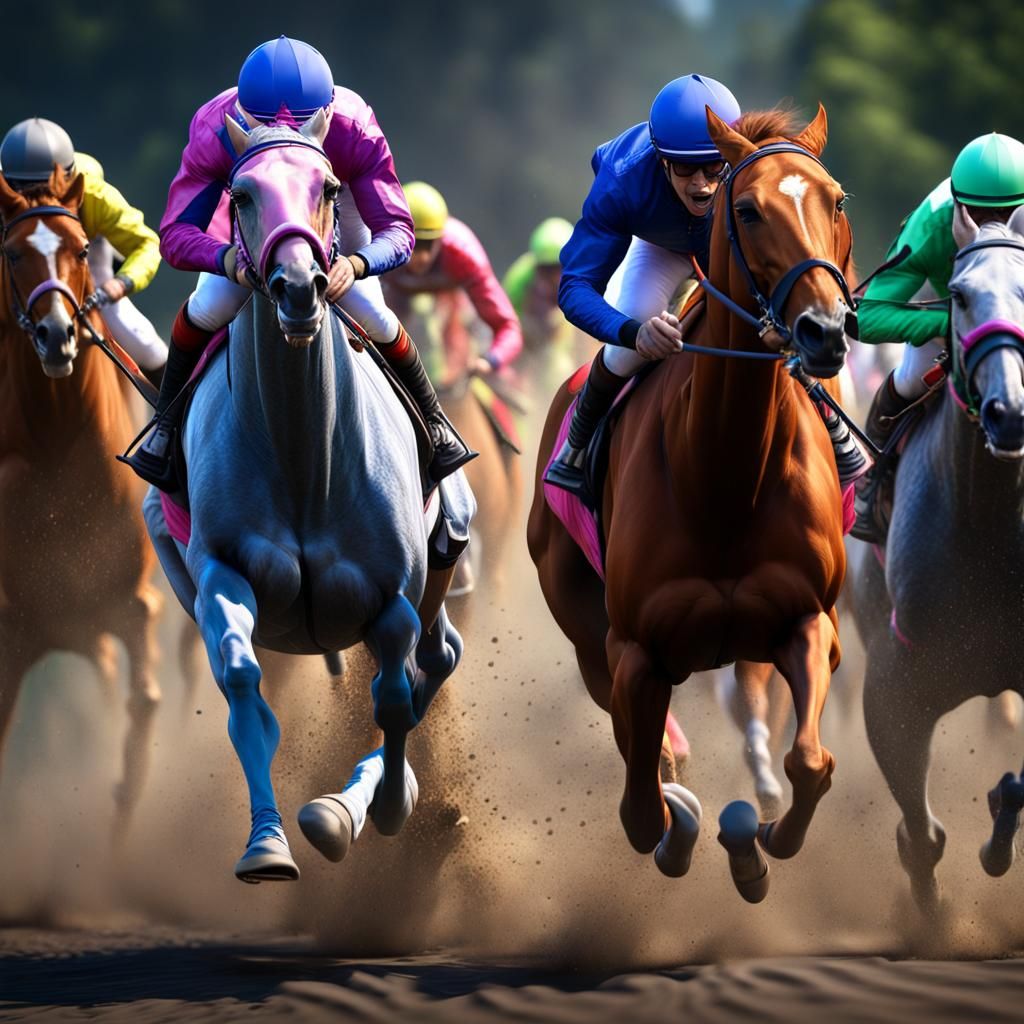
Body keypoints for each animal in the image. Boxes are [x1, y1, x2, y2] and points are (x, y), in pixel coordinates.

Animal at [142, 114, 471, 883]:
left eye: (327, 188)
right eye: (239, 194)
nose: (298, 285)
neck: (304, 458)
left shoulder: (393, 597)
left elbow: (393, 697)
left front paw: (383, 806)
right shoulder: (221, 574)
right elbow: (242, 682)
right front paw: (266, 844)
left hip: (443, 557)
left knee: (434, 663)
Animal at [528, 105, 857, 902]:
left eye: (835, 201)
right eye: (749, 210)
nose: (825, 331)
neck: (725, 478)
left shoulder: (809, 623)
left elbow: (811, 763)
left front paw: (760, 842)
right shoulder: (635, 654)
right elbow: (644, 808)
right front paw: (689, 832)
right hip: (584, 632)